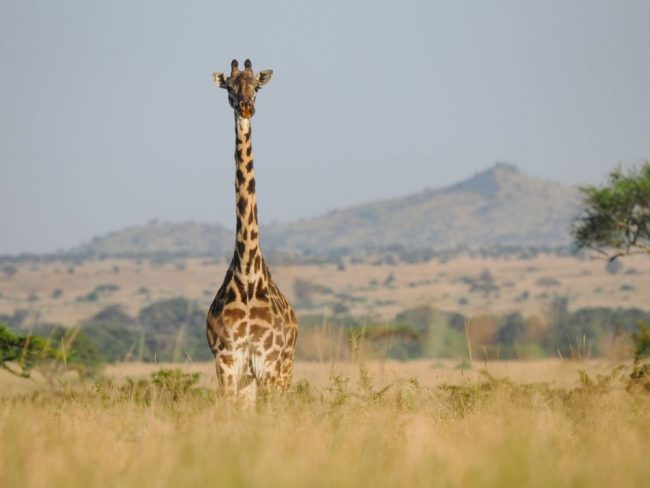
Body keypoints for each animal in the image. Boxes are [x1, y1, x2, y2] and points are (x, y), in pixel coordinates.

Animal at [206, 59, 298, 402]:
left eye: (256, 86)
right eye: (230, 87)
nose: (246, 107)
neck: (246, 273)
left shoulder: (267, 362)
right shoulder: (228, 362)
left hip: (285, 370)